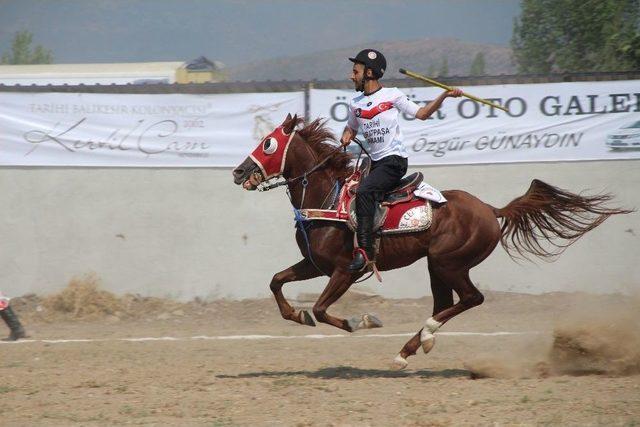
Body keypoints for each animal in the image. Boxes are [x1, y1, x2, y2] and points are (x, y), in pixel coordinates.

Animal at [231, 115, 632, 370]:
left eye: (268, 144)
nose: (238, 172)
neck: (327, 199)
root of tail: (490, 209)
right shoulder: (315, 265)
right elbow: (277, 282)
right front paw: (295, 315)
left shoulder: (346, 269)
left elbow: (321, 308)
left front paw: (362, 321)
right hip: (436, 265)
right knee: (446, 302)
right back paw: (415, 345)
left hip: (448, 262)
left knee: (471, 298)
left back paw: (422, 338)